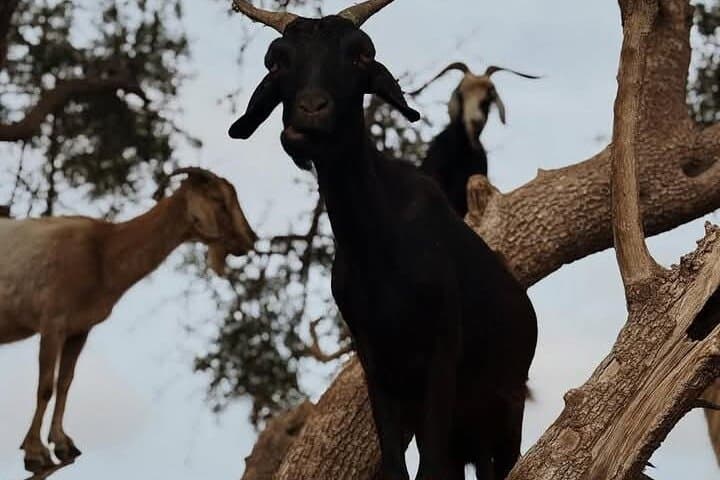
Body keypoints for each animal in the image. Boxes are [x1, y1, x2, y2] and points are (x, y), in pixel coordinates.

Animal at [0, 167, 257, 473]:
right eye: (218, 199)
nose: (250, 239)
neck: (103, 252)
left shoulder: (79, 329)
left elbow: (65, 383)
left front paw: (62, 443)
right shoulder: (53, 321)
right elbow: (45, 388)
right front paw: (34, 453)